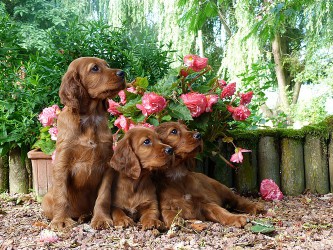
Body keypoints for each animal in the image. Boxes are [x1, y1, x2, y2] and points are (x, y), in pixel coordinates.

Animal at [41, 56, 124, 230]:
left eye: (107, 65)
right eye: (94, 68)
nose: (123, 73)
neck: (90, 118)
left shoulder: (108, 166)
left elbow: (103, 197)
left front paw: (101, 219)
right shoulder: (62, 164)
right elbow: (61, 195)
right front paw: (61, 221)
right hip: (46, 200)